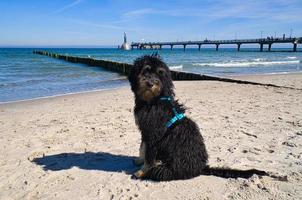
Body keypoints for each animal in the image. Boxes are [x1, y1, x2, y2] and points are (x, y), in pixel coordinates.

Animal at [129, 53, 268, 181]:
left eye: (160, 73)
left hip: (169, 169)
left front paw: (141, 172)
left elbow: (149, 156)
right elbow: (142, 147)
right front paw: (139, 160)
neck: (154, 100)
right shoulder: (145, 130)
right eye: (146, 70)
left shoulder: (154, 134)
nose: (151, 83)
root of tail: (200, 168)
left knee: (160, 171)